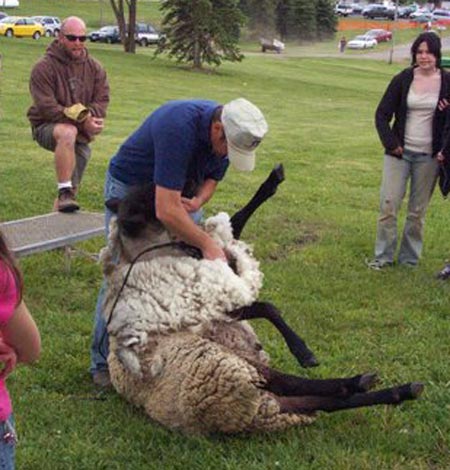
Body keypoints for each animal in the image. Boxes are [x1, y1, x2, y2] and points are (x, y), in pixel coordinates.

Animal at [100, 179, 424, 434]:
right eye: (151, 196)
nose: (191, 184)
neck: (155, 253)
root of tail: (250, 412)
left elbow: (238, 223)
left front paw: (272, 181)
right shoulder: (219, 303)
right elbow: (268, 306)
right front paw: (304, 352)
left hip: (257, 379)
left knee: (309, 400)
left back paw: (398, 390)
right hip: (235, 367)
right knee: (293, 385)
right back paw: (358, 382)